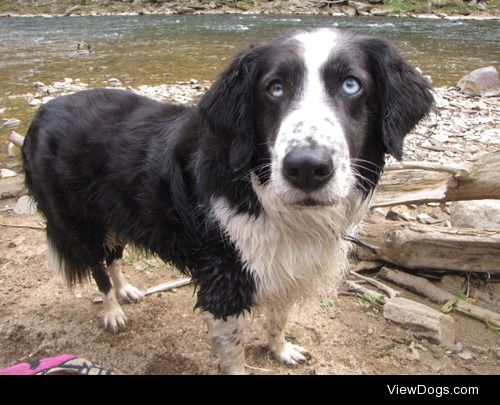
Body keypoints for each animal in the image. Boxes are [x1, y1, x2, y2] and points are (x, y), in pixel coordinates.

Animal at [21, 28, 432, 374]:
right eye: (274, 88)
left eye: (351, 85)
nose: (307, 169)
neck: (258, 190)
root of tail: (43, 112)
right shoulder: (226, 284)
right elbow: (234, 352)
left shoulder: (285, 267)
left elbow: (278, 318)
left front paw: (281, 351)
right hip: (79, 221)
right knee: (97, 267)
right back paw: (113, 310)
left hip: (118, 214)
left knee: (114, 256)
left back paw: (126, 290)